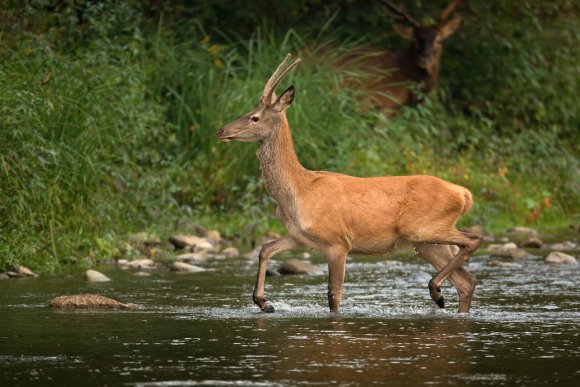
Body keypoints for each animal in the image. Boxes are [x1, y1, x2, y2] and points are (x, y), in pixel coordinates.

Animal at [218, 54, 480, 316]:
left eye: (255, 117)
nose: (221, 130)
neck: (299, 190)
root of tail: (464, 194)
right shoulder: (300, 236)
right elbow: (265, 248)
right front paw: (264, 302)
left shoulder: (337, 242)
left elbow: (333, 296)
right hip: (425, 242)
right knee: (466, 281)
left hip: (423, 228)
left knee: (473, 241)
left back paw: (436, 290)